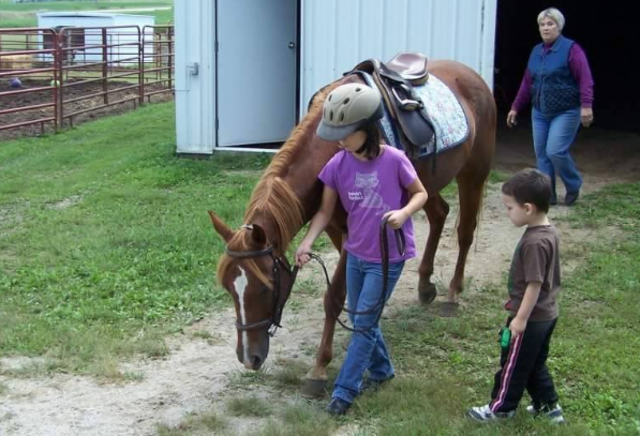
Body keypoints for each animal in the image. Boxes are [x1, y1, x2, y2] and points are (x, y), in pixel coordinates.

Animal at [208, 59, 496, 397]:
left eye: (265, 288)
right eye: (229, 288)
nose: (248, 358)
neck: (332, 151)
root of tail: (471, 74)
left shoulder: (355, 232)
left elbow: (334, 297)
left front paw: (319, 368)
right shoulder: (335, 229)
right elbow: (353, 290)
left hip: (473, 173)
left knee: (465, 231)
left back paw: (453, 294)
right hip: (424, 183)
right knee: (440, 214)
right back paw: (425, 286)